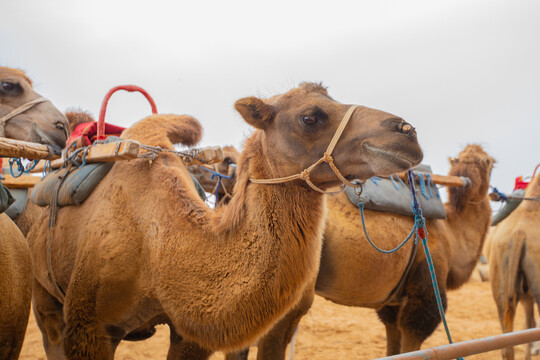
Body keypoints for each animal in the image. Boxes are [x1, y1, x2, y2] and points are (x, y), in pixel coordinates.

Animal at [26, 83, 422, 358]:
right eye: (310, 117)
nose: (407, 132)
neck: (158, 249)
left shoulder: (190, 337)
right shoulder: (89, 327)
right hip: (45, 296)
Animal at [193, 144, 494, 360]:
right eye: (492, 162)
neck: (453, 233)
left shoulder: (393, 299)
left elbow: (393, 340)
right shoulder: (426, 283)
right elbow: (415, 338)